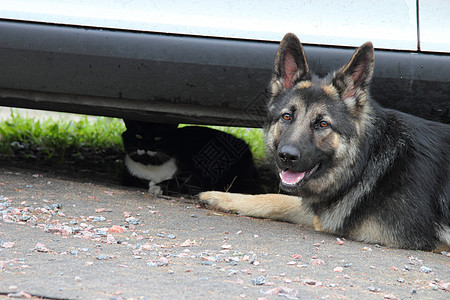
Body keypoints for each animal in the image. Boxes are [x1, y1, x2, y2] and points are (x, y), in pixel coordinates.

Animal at [121, 119, 262, 197]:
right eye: (138, 136)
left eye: (158, 138)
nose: (146, 146)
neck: (151, 167)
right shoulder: (130, 176)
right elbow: (139, 180)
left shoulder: (193, 178)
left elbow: (176, 181)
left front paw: (158, 187)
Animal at [200, 33, 450, 251]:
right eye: (286, 117)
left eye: (322, 124)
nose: (286, 156)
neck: (368, 161)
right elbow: (278, 198)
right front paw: (222, 197)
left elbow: (316, 219)